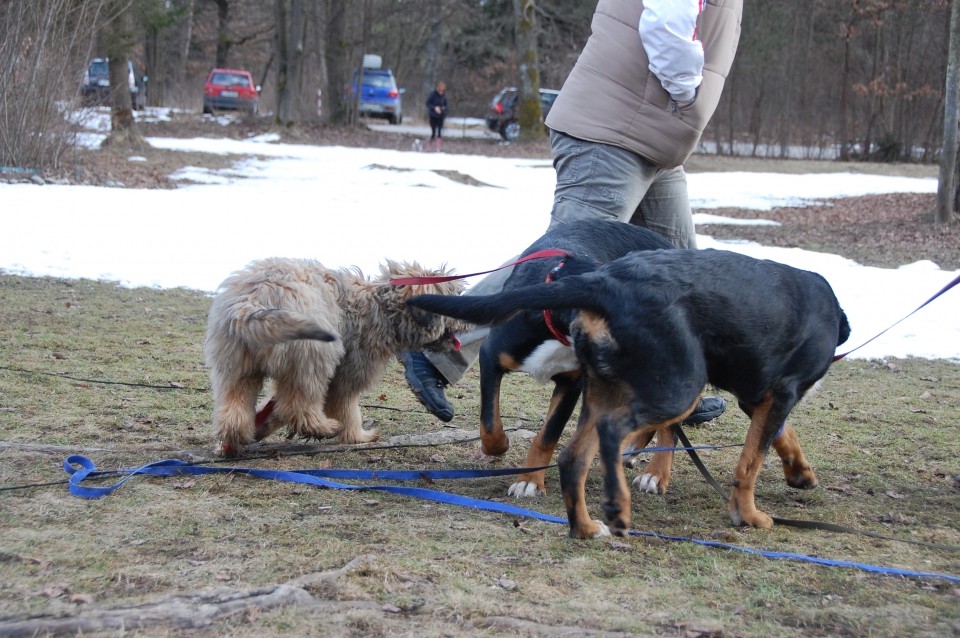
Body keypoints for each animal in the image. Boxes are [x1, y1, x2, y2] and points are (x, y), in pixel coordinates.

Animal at [205, 258, 464, 458]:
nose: (466, 322)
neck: (383, 307)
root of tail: (253, 299)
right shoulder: (351, 370)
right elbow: (346, 405)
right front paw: (358, 436)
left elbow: (273, 406)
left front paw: (263, 424)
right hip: (314, 355)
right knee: (298, 405)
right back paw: (324, 427)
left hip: (236, 363)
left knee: (235, 406)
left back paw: (232, 442)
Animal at [408, 250, 852, 540]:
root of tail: (602, 282)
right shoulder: (780, 393)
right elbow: (750, 464)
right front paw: (747, 516)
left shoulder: (760, 396)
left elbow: (780, 436)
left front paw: (801, 474)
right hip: (678, 384)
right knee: (615, 434)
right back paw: (618, 504)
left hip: (619, 387)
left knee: (577, 455)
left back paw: (589, 525)